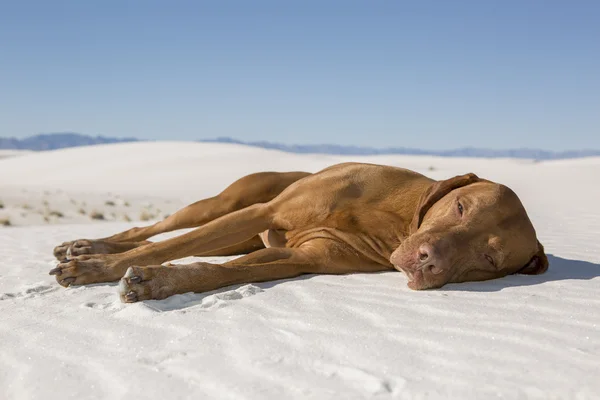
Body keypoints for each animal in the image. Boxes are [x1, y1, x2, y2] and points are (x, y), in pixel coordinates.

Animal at [50, 161, 548, 302]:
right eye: (461, 207)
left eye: (488, 259)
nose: (429, 262)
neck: (395, 221)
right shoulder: (264, 212)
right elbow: (175, 245)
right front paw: (95, 269)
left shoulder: (301, 259)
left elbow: (220, 272)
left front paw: (157, 283)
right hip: (228, 205)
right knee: (157, 228)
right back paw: (85, 246)